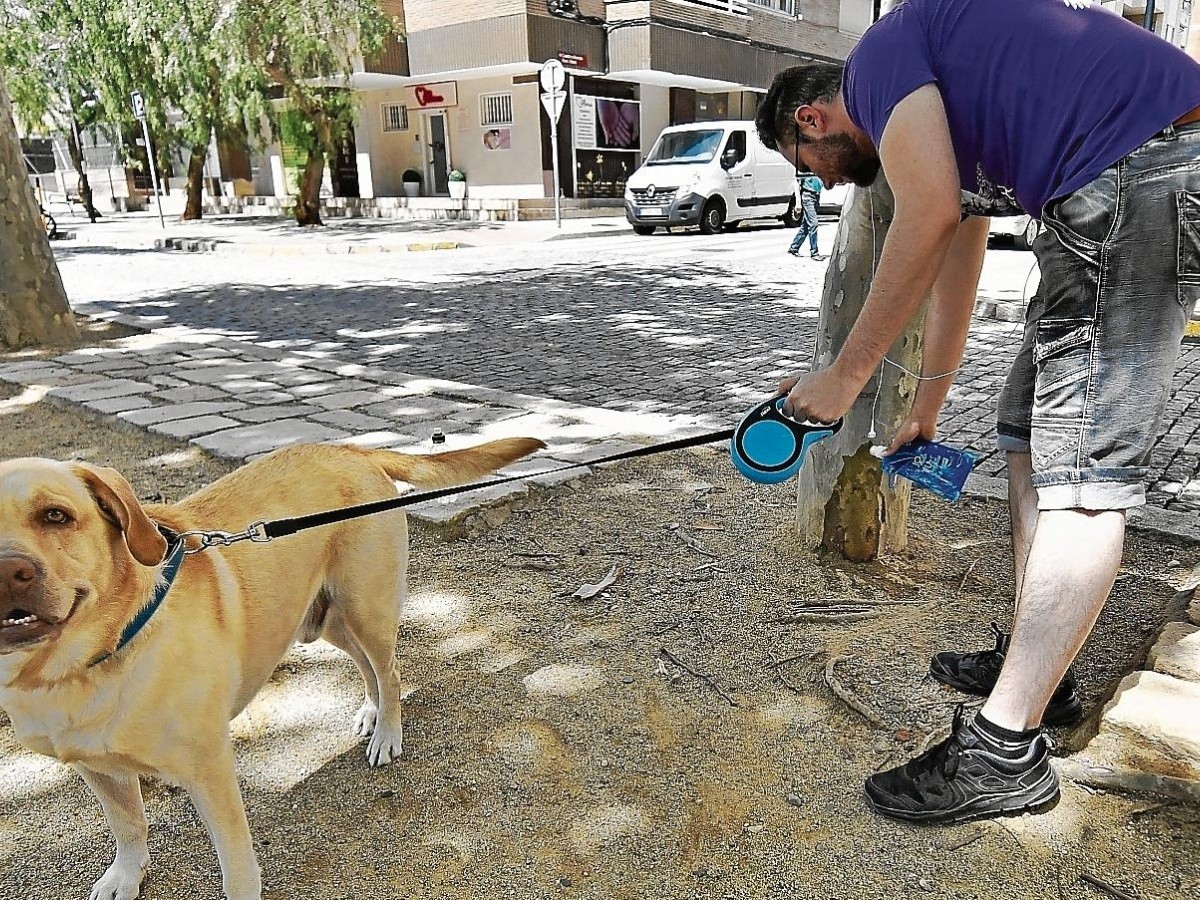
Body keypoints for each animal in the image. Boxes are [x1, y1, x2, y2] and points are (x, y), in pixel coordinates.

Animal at [0, 439, 544, 900]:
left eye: (56, 516)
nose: (9, 572)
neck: (82, 665)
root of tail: (349, 447)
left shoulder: (210, 773)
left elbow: (235, 862)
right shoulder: (98, 769)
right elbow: (129, 825)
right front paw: (125, 876)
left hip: (365, 607)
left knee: (389, 671)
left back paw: (387, 733)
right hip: (323, 620)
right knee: (369, 668)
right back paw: (371, 714)